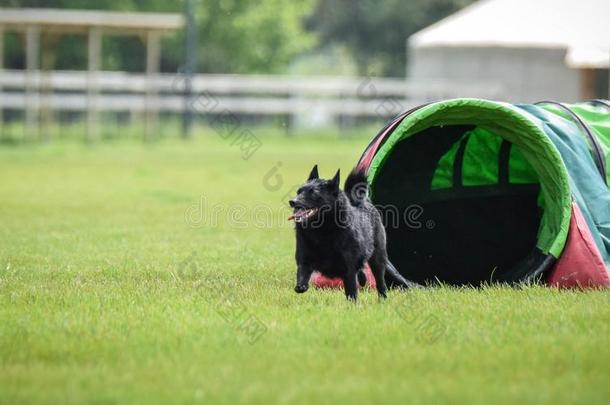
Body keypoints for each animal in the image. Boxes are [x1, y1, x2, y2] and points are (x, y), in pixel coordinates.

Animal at [288, 164, 414, 300]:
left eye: (314, 193)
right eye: (299, 191)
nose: (292, 201)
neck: (322, 231)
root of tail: (363, 201)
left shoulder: (348, 270)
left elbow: (352, 291)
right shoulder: (304, 259)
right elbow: (302, 273)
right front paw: (301, 286)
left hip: (378, 259)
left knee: (380, 282)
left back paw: (382, 298)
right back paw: (363, 280)